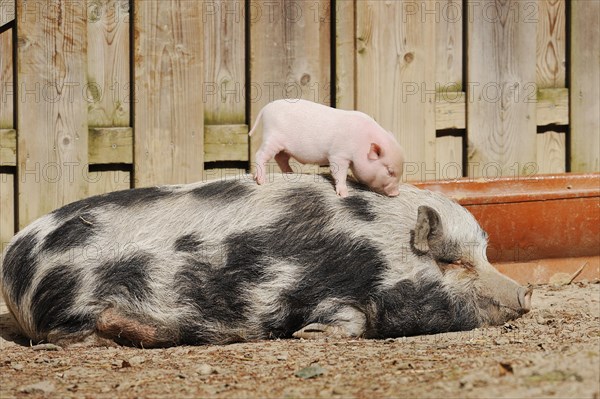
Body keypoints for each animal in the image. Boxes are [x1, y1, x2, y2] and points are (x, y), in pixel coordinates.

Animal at [1, 175, 536, 346]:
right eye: (453, 263)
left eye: (483, 254)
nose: (527, 291)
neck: (378, 251)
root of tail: (12, 261)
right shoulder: (331, 291)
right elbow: (344, 319)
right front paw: (309, 335)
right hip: (70, 309)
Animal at [246, 99, 406, 198]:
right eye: (389, 171)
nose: (396, 193)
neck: (362, 142)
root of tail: (266, 108)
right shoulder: (338, 154)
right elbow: (338, 173)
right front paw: (344, 194)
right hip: (272, 137)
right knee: (260, 154)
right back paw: (261, 181)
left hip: (283, 147)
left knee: (281, 158)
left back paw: (291, 173)